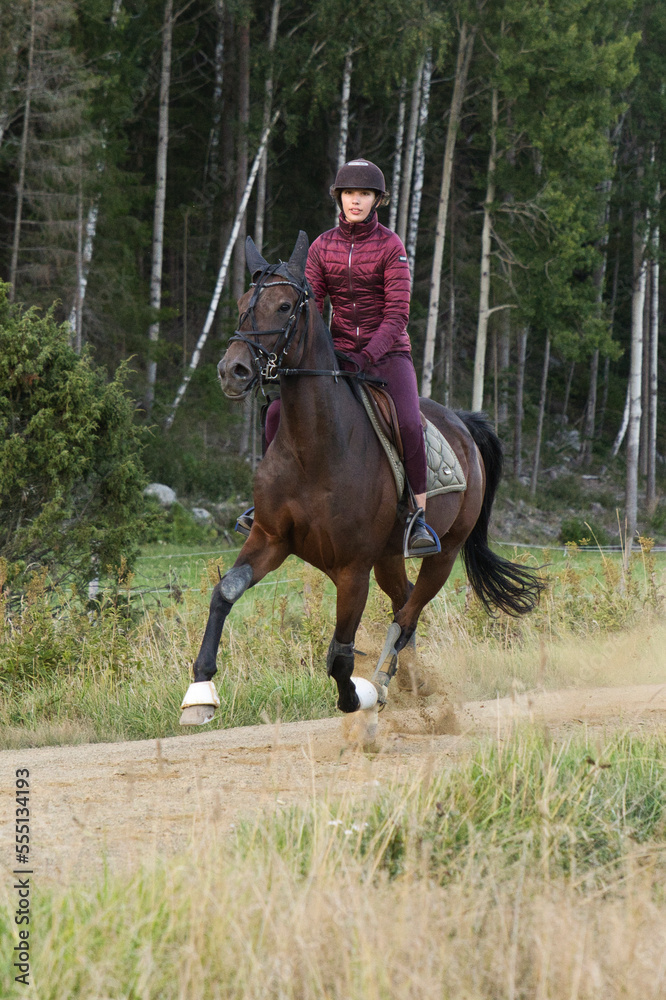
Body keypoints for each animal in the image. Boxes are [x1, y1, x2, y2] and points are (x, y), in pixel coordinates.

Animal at [180, 234, 540, 728]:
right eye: (240, 304)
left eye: (285, 306)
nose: (232, 371)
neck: (314, 448)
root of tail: (463, 424)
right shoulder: (270, 538)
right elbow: (225, 592)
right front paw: (200, 692)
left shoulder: (352, 570)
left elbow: (340, 654)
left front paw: (356, 696)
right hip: (389, 559)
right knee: (404, 604)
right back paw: (410, 683)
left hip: (442, 554)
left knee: (407, 616)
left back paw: (385, 685)